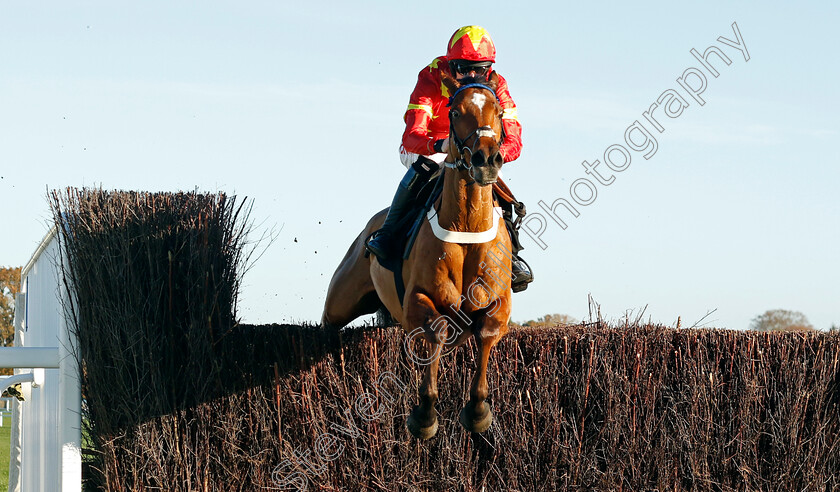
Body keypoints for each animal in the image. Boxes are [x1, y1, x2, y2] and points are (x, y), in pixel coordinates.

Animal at [322, 71, 512, 440]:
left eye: (497, 111)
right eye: (456, 112)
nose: (485, 159)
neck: (466, 227)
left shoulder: (500, 301)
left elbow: (485, 333)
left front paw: (478, 411)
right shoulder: (416, 301)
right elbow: (437, 330)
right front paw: (425, 415)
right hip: (341, 299)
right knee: (326, 322)